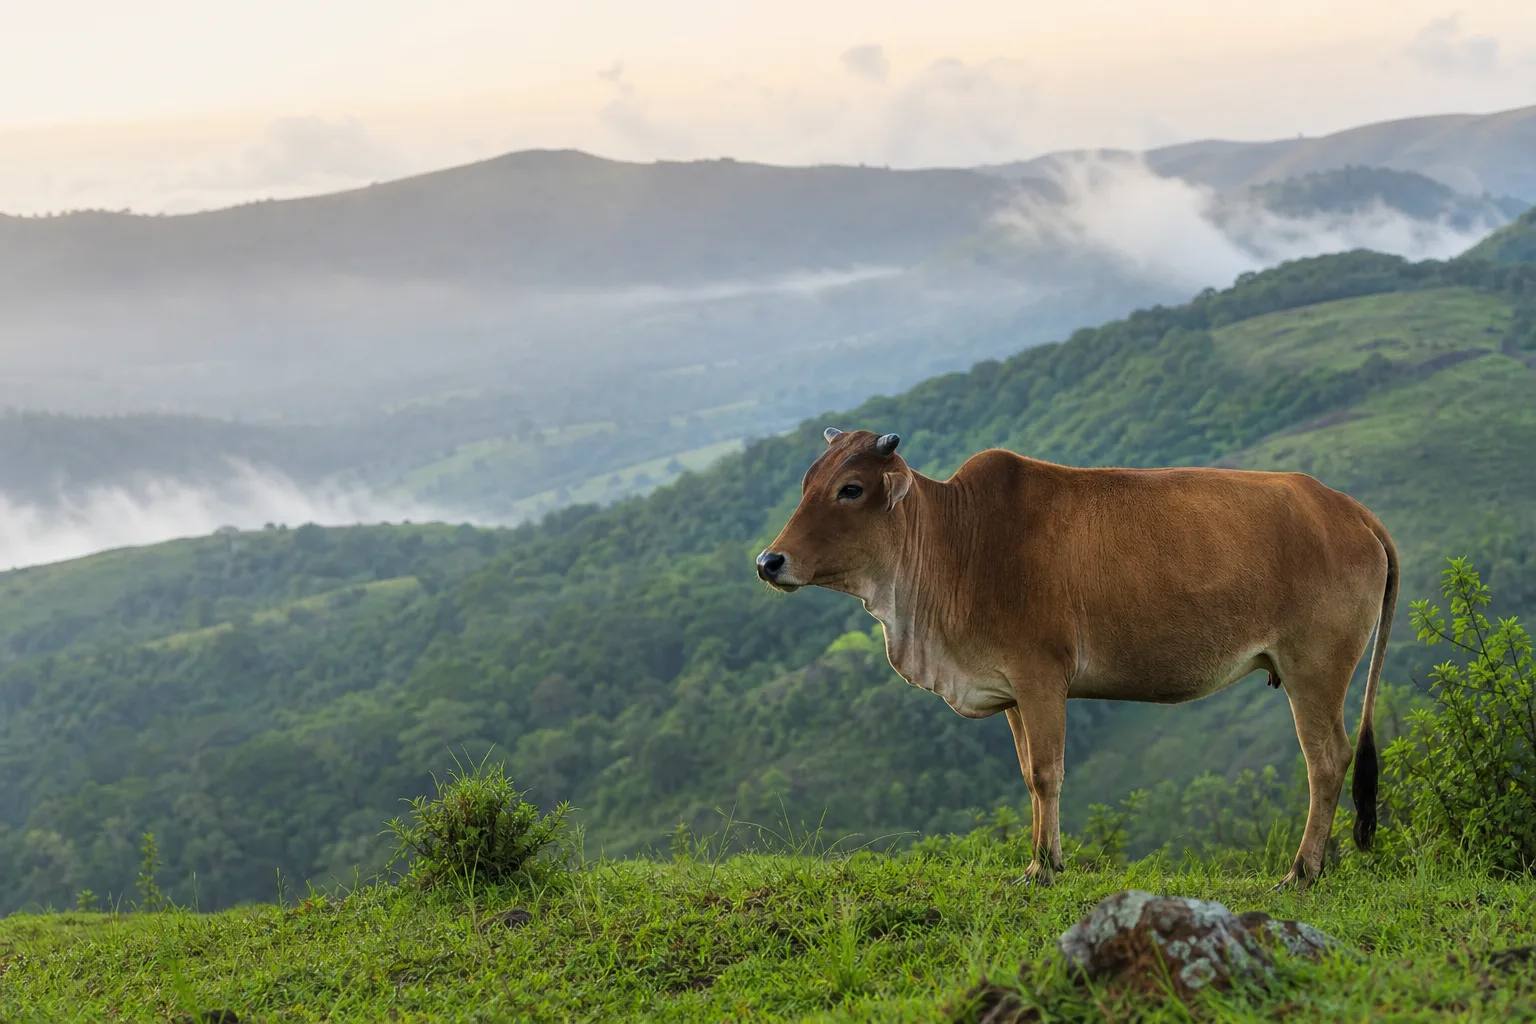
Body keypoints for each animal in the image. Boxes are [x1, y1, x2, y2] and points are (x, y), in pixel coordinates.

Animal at [755, 428, 1397, 888]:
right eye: (808, 482)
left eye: (851, 488)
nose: (769, 561)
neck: (957, 545)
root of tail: (1348, 508)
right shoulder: (1011, 691)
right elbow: (1028, 775)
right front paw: (1040, 859)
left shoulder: (1042, 677)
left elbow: (1048, 772)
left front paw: (1045, 866)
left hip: (1315, 669)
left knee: (1326, 761)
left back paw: (1302, 871)